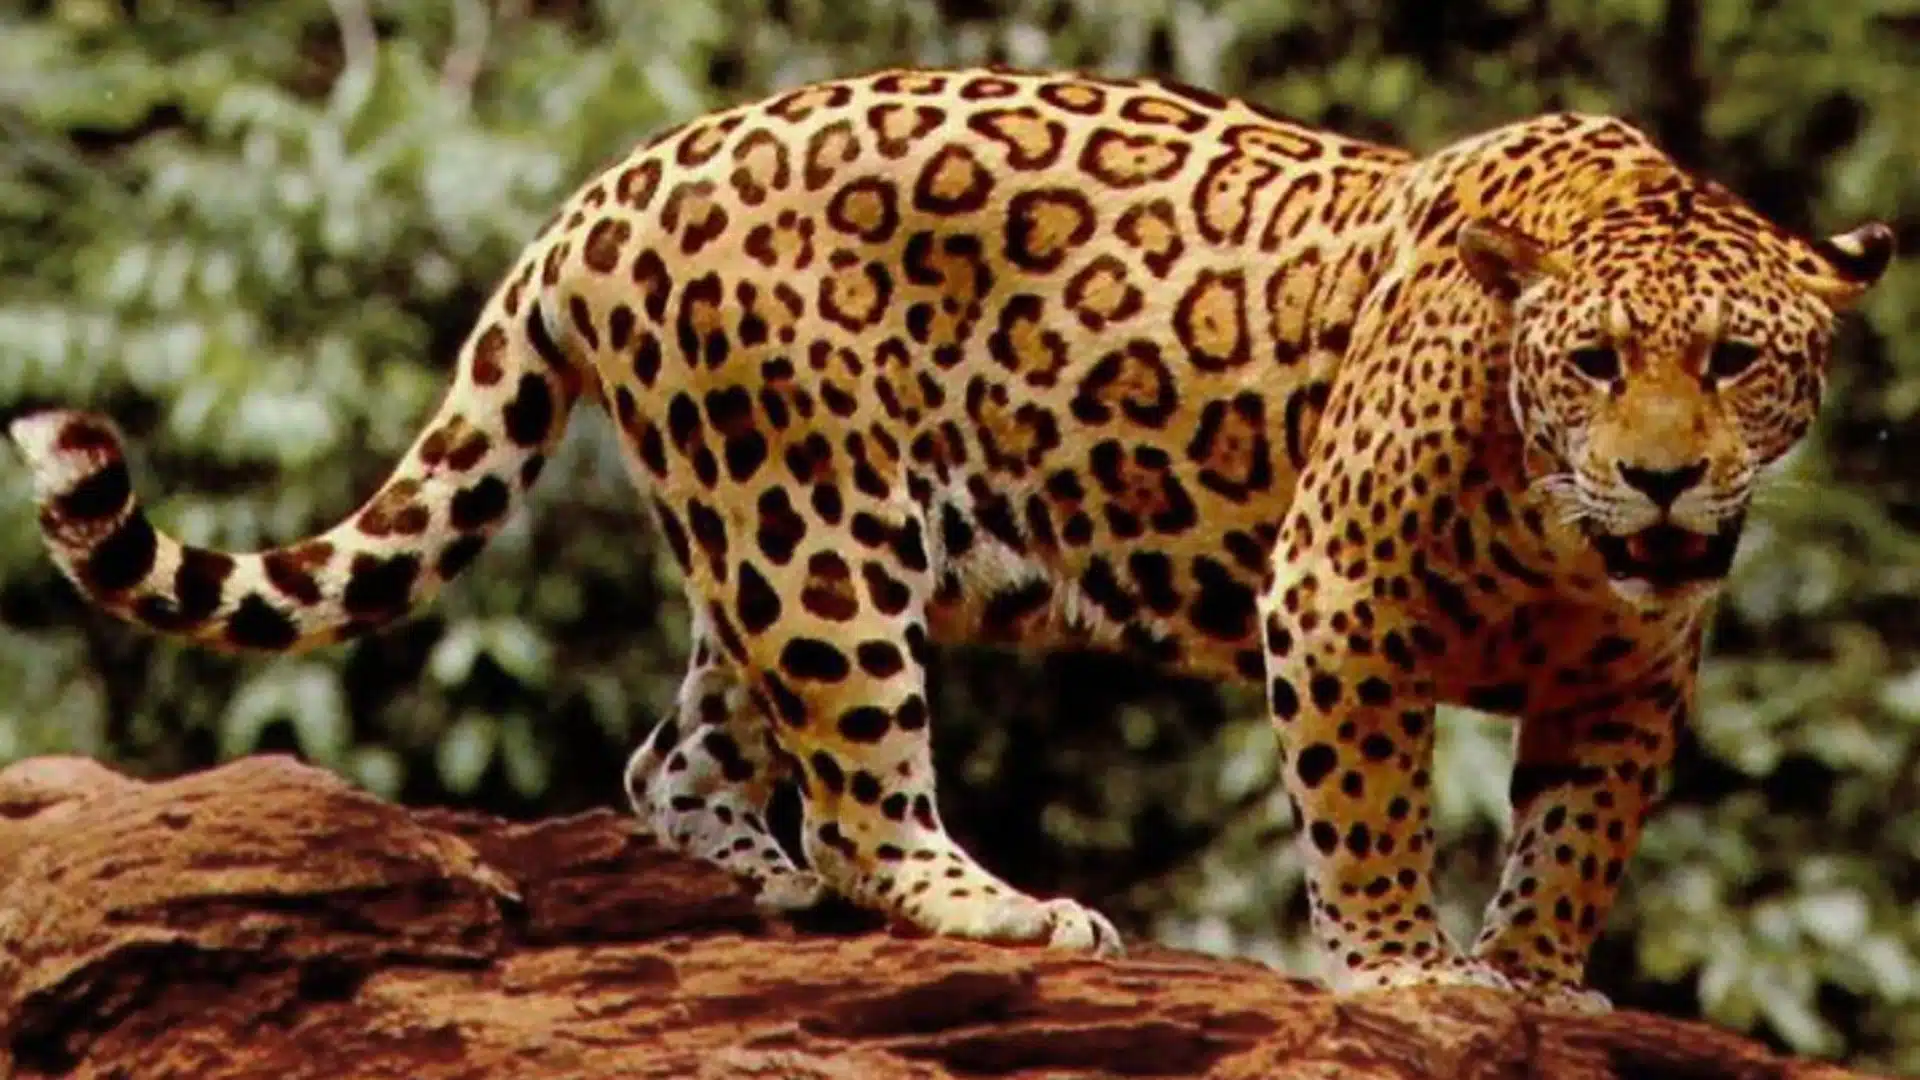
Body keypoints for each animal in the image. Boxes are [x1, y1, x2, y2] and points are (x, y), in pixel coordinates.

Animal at [8, 66, 1893, 1011]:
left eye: (1736, 362)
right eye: (1594, 363)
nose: (1663, 482)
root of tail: (611, 184)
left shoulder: (1630, 677)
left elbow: (1575, 839)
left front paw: (1542, 981)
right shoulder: (1336, 597)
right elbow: (1367, 810)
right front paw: (1406, 977)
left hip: (764, 536)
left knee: (678, 752)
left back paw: (760, 885)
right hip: (819, 535)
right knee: (858, 789)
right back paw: (994, 911)